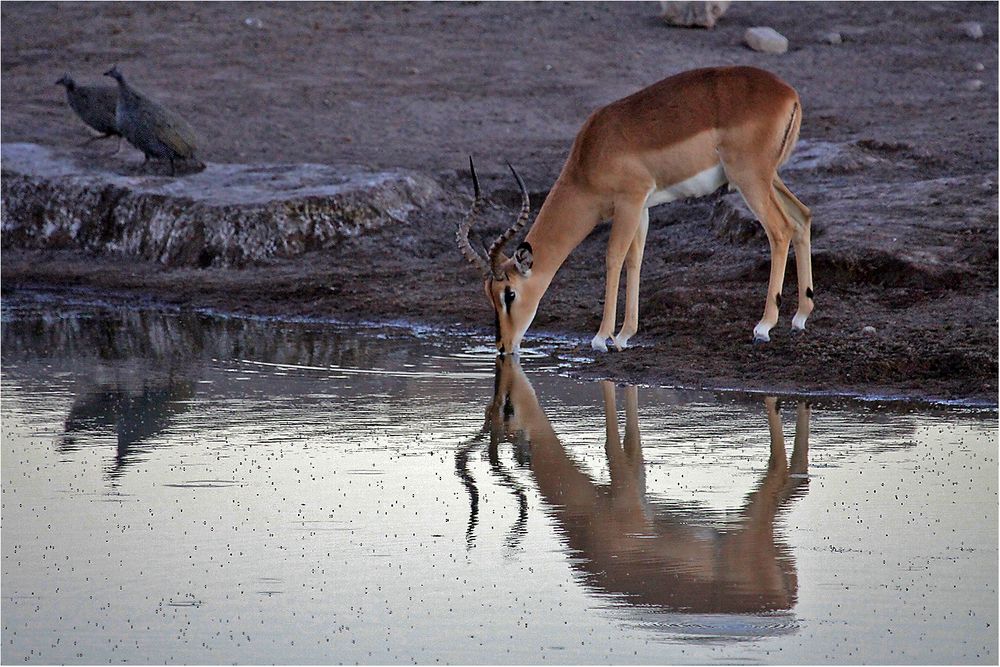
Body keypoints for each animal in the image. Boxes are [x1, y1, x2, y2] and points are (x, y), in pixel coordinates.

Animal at [458, 66, 812, 354]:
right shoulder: (642, 208)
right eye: (487, 293)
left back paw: (764, 327)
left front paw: (601, 338)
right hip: (769, 178)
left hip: (749, 180)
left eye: (509, 294)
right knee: (802, 217)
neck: (591, 154)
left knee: (780, 229)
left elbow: (613, 258)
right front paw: (624, 336)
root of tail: (789, 93)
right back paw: (800, 317)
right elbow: (635, 260)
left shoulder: (629, 201)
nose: (503, 346)